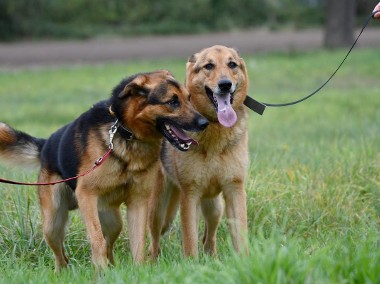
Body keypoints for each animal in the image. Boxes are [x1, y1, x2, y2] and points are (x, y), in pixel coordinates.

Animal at [0, 70, 208, 270]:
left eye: (189, 98)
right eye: (172, 101)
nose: (204, 123)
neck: (125, 133)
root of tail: (45, 145)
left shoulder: (138, 202)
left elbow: (138, 243)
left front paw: (138, 271)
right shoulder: (86, 195)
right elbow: (96, 239)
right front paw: (100, 271)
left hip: (113, 221)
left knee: (109, 245)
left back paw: (112, 268)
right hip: (53, 223)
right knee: (61, 256)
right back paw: (66, 272)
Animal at [150, 45, 251, 258]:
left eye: (232, 64)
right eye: (209, 66)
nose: (225, 85)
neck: (215, 126)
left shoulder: (234, 189)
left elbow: (240, 235)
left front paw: (245, 261)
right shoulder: (190, 194)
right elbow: (190, 241)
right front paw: (192, 264)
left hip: (215, 208)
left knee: (208, 237)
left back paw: (211, 256)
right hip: (159, 210)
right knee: (154, 240)